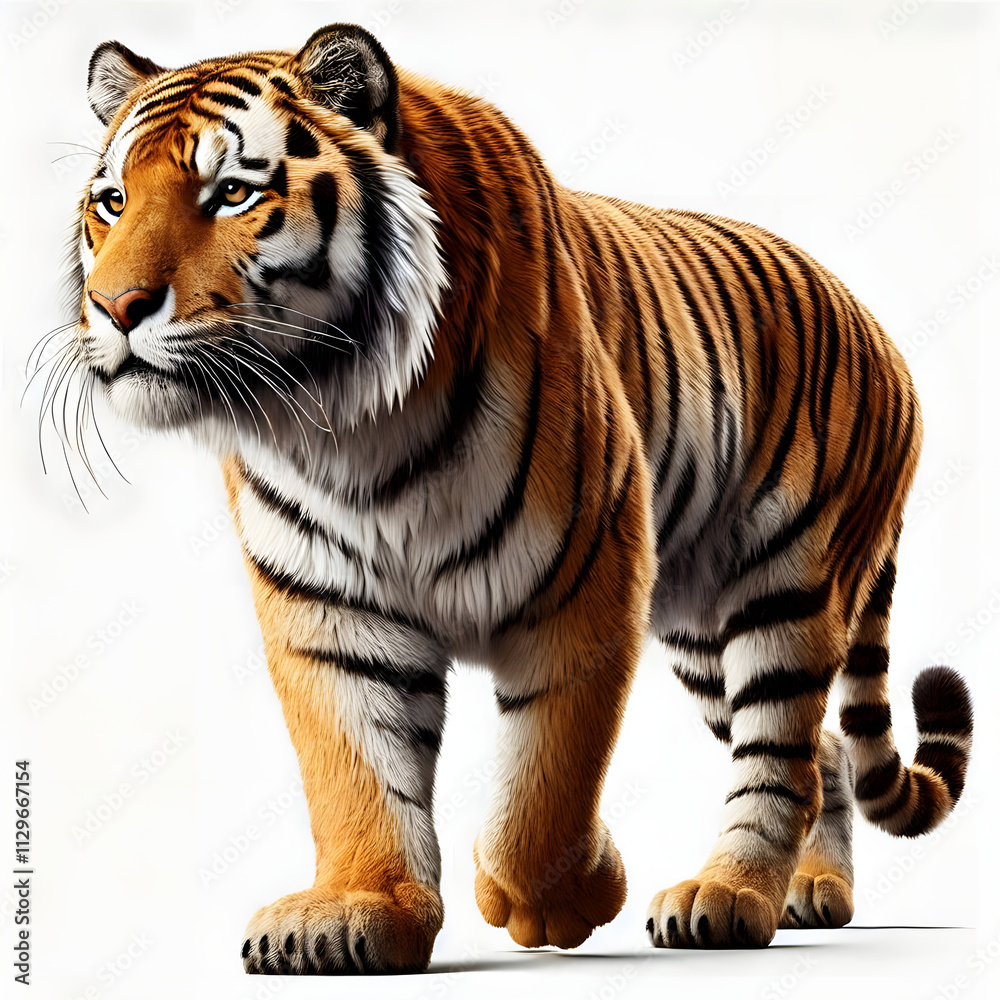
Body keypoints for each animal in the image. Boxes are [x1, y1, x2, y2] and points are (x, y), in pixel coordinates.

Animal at [48, 21, 972, 975]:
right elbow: (354, 770)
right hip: (699, 626)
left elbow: (544, 787)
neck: (345, 422)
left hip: (788, 588)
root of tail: (875, 326)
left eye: (231, 192)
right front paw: (356, 910)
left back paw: (729, 898)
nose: (114, 306)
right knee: (821, 754)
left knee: (782, 756)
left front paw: (561, 896)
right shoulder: (327, 608)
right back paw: (807, 893)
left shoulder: (588, 575)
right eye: (112, 202)